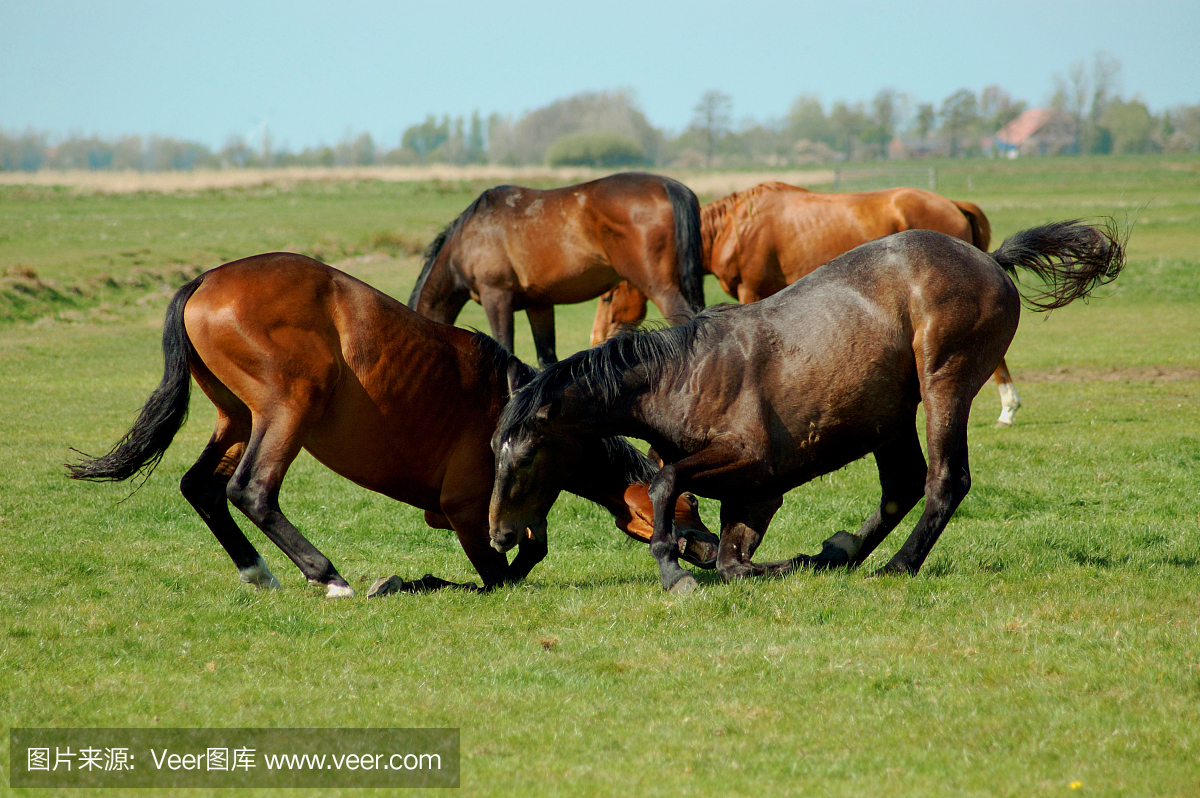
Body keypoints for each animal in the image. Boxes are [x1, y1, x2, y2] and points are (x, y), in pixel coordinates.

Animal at [65, 252, 715, 595]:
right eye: (686, 504)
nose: (710, 548)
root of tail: (206, 280)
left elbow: (530, 548)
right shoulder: (465, 511)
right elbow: (498, 575)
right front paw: (415, 581)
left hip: (237, 418)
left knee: (200, 486)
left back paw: (259, 572)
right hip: (287, 411)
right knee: (251, 490)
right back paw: (327, 575)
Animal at [408, 172, 700, 369]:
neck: (468, 237)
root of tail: (668, 185)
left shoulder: (497, 298)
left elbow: (506, 348)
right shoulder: (539, 305)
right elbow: (547, 358)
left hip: (660, 289)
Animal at [489, 218, 1123, 590]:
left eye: (525, 456)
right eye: (493, 450)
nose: (499, 536)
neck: (680, 378)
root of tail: (992, 258)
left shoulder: (749, 460)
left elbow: (668, 484)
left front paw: (672, 569)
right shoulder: (755, 494)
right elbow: (730, 559)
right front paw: (783, 562)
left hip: (945, 383)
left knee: (946, 480)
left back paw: (896, 567)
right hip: (890, 417)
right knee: (902, 485)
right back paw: (839, 552)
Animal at [590, 183, 1022, 427]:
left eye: (608, 296)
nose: (595, 338)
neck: (740, 224)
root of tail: (953, 203)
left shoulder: (752, 291)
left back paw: (1007, 407)